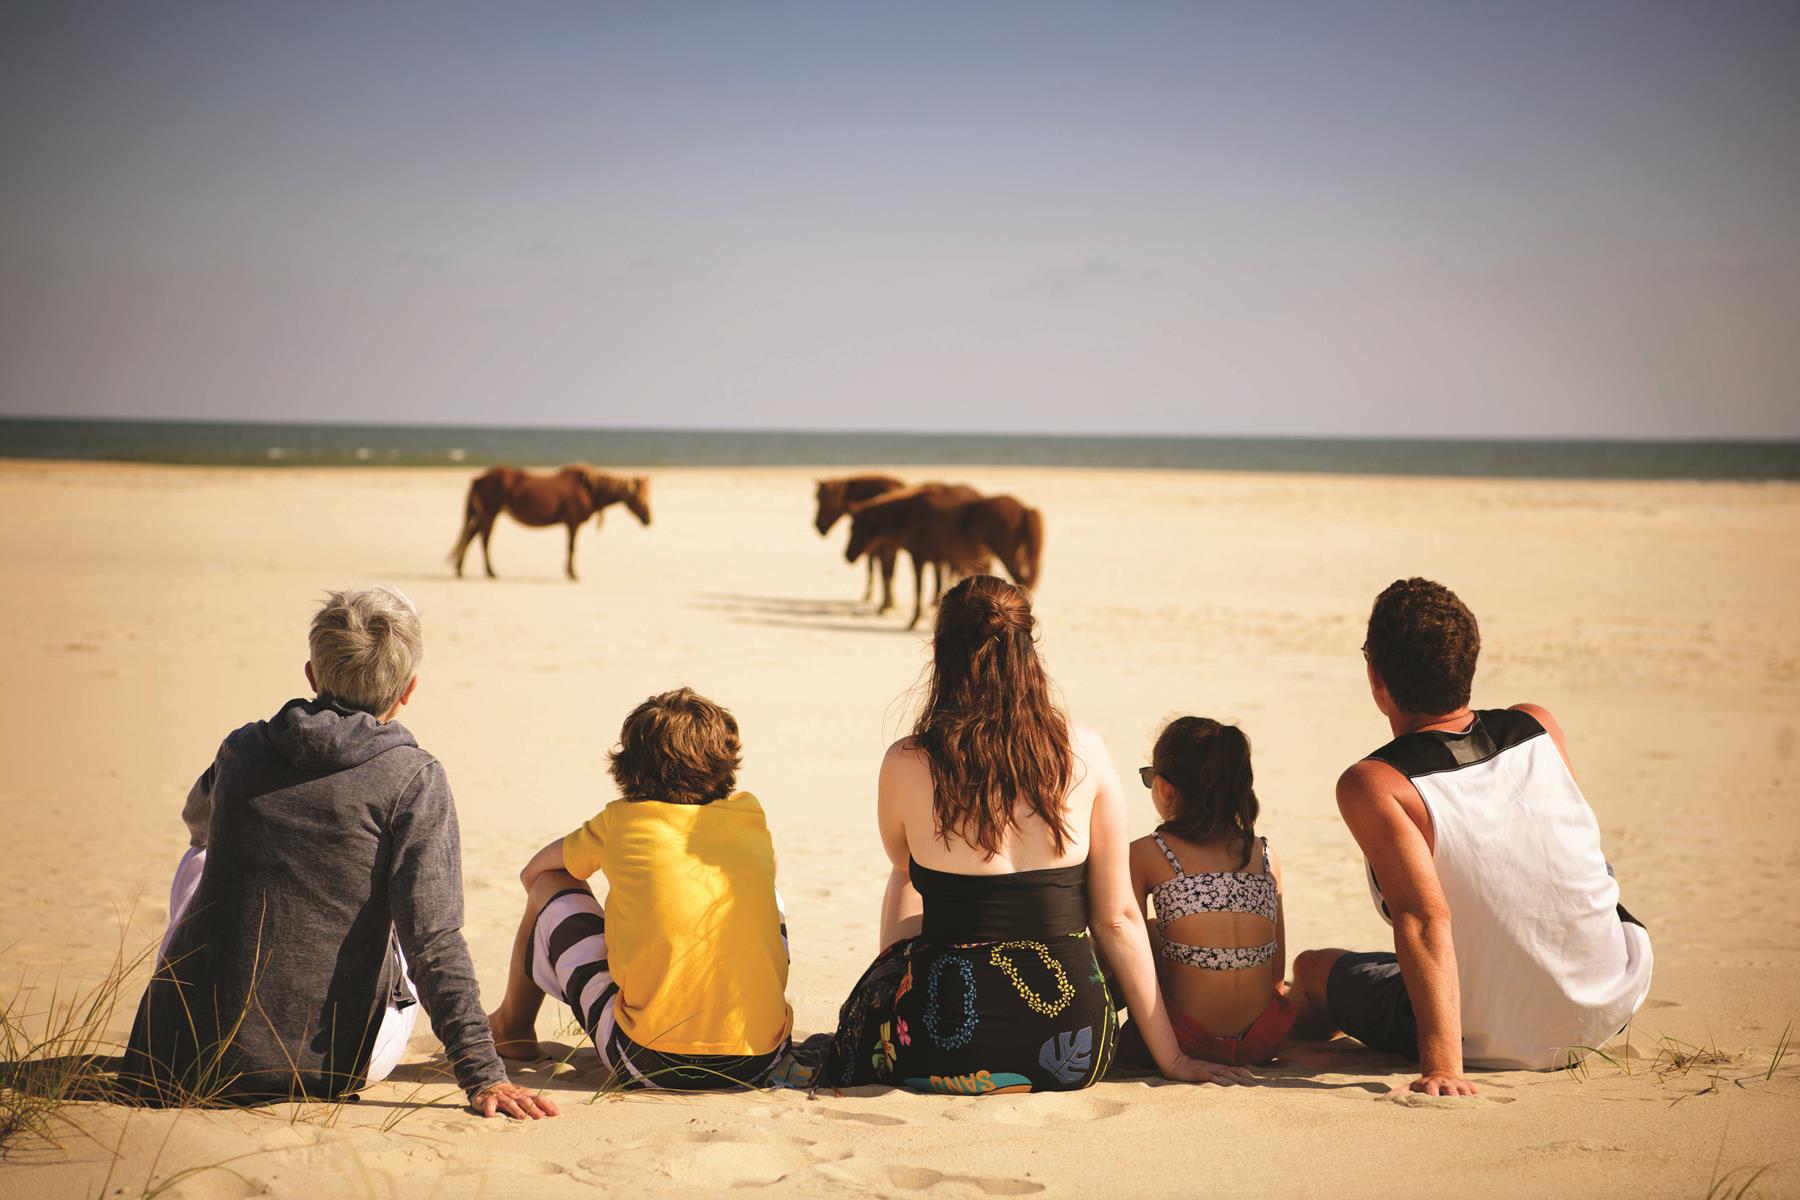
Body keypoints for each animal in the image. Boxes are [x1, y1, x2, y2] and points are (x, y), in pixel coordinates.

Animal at [450, 464, 655, 582]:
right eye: (641, 498)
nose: (649, 519)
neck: (589, 490)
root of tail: (478, 479)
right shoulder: (573, 522)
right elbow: (571, 547)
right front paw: (572, 573)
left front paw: (570, 572)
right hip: (490, 513)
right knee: (483, 540)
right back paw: (490, 572)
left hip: (484, 514)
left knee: (470, 536)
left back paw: (460, 570)